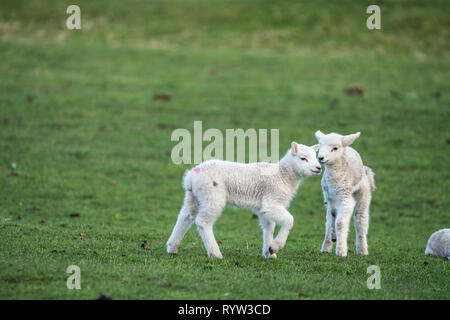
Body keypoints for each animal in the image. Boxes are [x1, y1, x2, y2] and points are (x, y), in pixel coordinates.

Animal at [167, 141, 322, 258]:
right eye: (303, 158)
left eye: (316, 157)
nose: (318, 168)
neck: (283, 175)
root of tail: (191, 177)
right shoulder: (271, 201)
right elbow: (289, 220)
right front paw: (275, 246)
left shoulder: (263, 206)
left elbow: (269, 227)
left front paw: (269, 252)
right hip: (212, 196)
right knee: (202, 222)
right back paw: (215, 253)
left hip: (194, 197)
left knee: (185, 216)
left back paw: (172, 247)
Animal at [314, 130, 374, 258]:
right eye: (319, 146)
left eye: (335, 148)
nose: (320, 158)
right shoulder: (329, 197)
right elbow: (332, 216)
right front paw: (333, 237)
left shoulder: (346, 198)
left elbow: (340, 222)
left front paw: (341, 251)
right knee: (329, 219)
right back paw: (327, 245)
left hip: (363, 191)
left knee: (360, 218)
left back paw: (362, 250)